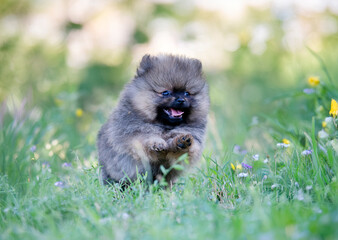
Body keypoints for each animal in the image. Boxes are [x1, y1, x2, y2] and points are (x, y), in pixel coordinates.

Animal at [96, 54, 210, 186]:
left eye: (187, 93)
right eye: (165, 92)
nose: (181, 100)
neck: (165, 126)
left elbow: (184, 150)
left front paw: (181, 141)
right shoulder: (134, 134)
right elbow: (146, 138)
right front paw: (156, 143)